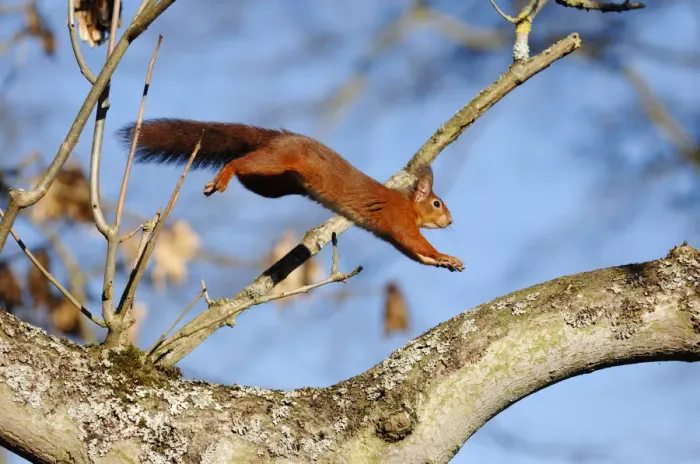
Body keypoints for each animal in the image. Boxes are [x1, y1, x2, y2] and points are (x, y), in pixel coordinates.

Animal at [118, 119, 464, 272]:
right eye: (437, 203)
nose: (451, 221)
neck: (408, 204)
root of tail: (280, 138)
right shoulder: (399, 220)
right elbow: (416, 242)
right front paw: (446, 256)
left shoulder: (389, 234)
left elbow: (412, 252)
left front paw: (440, 263)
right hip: (274, 163)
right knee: (241, 161)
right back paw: (224, 175)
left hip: (273, 185)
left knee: (248, 172)